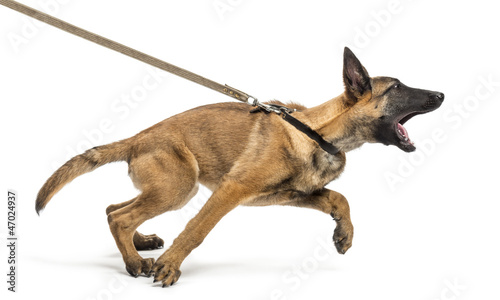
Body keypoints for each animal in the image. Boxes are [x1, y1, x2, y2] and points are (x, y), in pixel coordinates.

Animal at [36, 48, 446, 288]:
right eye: (396, 87)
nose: (441, 94)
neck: (317, 133)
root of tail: (136, 138)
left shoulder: (292, 195)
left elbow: (339, 198)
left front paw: (343, 234)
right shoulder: (231, 190)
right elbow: (196, 230)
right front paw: (170, 267)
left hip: (167, 187)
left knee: (113, 209)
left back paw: (140, 244)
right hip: (180, 187)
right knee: (120, 216)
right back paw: (137, 262)